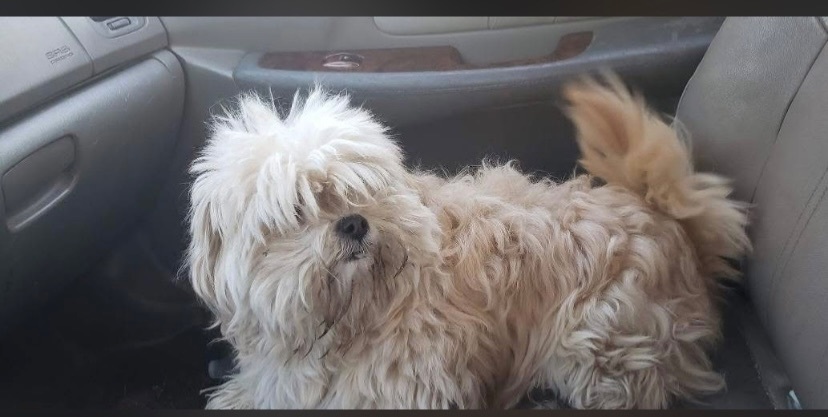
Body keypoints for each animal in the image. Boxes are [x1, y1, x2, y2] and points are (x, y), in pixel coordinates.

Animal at [186, 74, 751, 409]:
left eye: (360, 192)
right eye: (300, 209)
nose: (353, 223)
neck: (351, 316)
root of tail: (674, 227)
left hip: (593, 343)